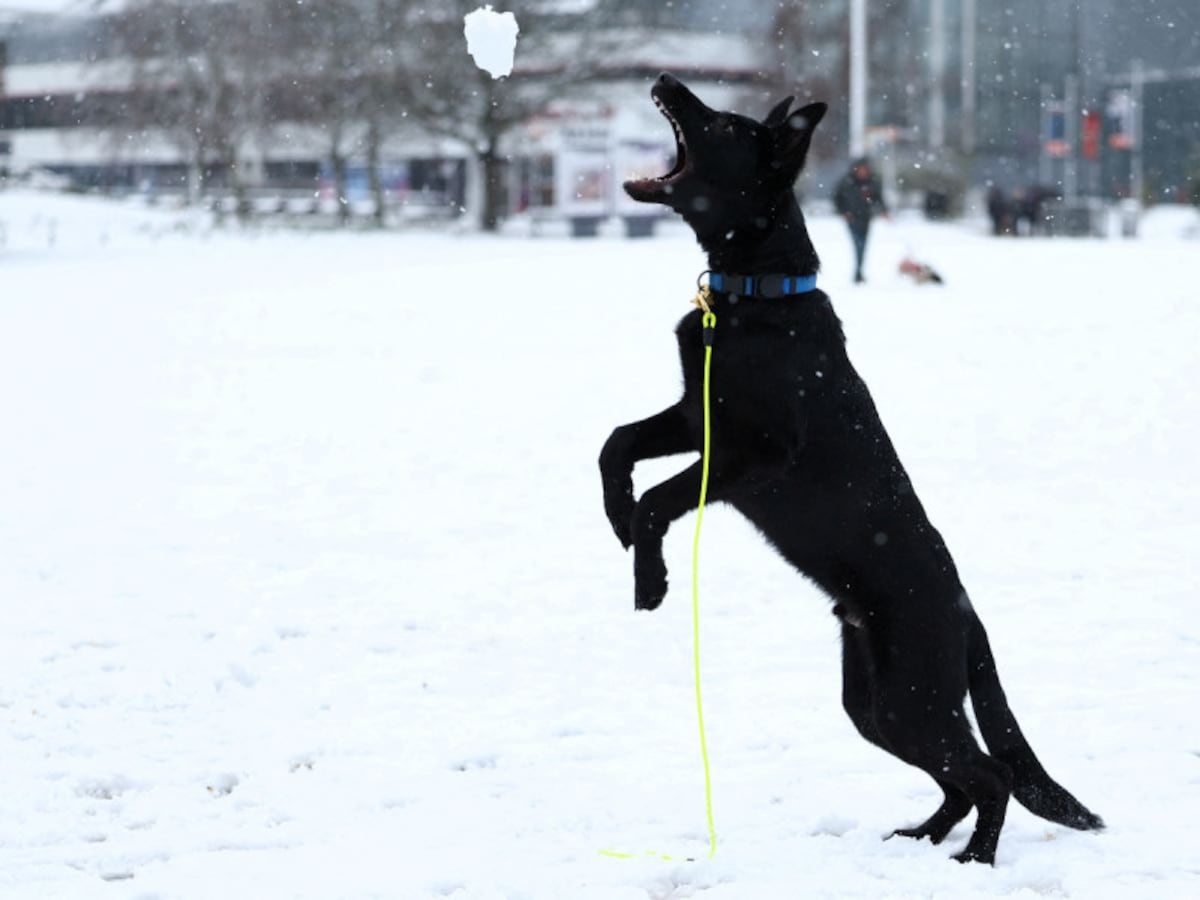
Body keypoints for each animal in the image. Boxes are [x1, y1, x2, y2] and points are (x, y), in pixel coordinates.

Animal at [595, 75, 1099, 868]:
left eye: (724, 124)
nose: (667, 81)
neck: (758, 290)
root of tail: (968, 615)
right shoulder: (694, 417)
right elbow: (616, 445)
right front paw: (616, 517)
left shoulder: (752, 453)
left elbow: (661, 497)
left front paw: (652, 581)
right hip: (874, 703)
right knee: (960, 780)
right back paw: (922, 838)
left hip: (909, 695)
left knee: (990, 775)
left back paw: (974, 861)